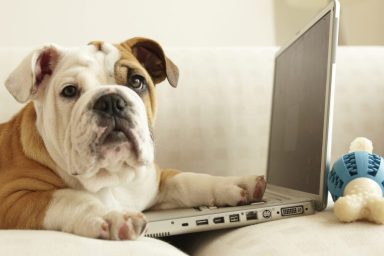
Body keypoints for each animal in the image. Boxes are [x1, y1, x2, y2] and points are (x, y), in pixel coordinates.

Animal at [0, 38, 266, 240]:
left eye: (136, 81)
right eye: (69, 91)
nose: (110, 101)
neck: (113, 177)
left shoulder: (157, 181)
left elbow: (189, 180)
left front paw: (236, 184)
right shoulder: (13, 199)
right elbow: (66, 198)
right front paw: (111, 215)